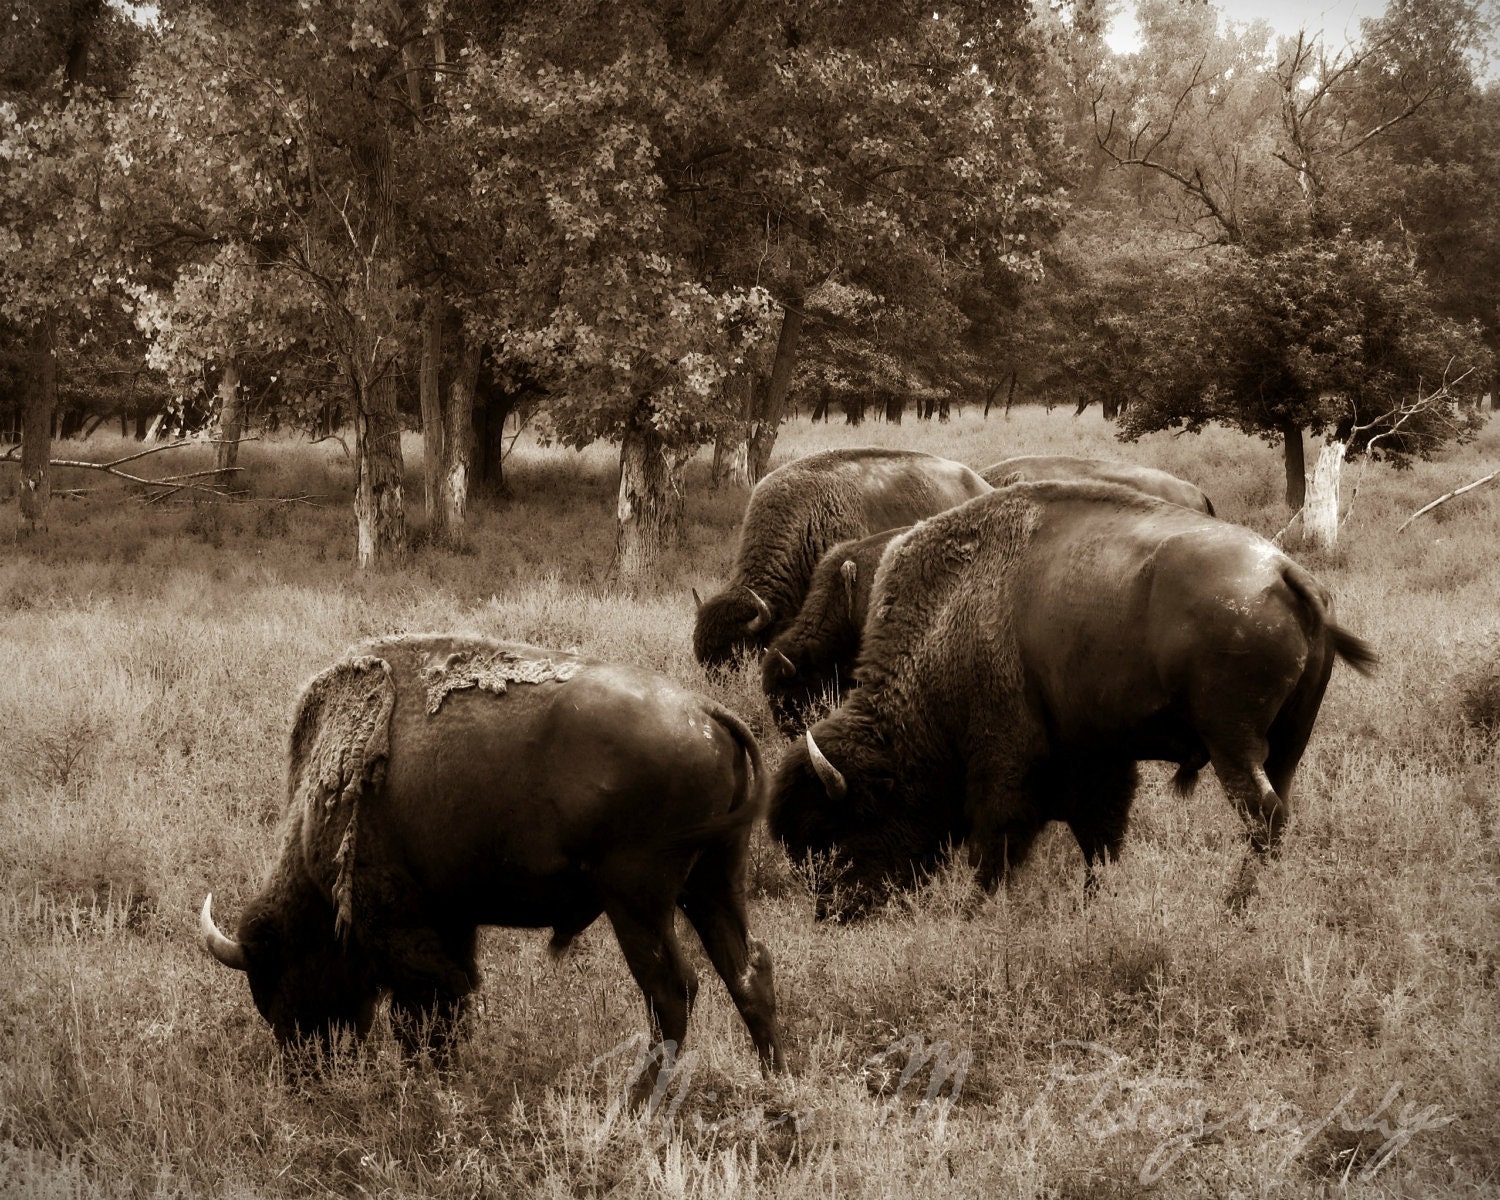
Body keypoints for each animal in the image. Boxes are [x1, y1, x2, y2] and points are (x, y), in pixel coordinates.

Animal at [202, 636, 786, 1098]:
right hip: (712, 882)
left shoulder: (401, 928)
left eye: (287, 975)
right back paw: (776, 1084)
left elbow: (425, 1013)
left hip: (638, 901)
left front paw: (430, 1085)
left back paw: (637, 1101)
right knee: (748, 971)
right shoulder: (451, 922)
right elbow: (450, 1001)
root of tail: (707, 712)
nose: (303, 1075)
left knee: (672, 990)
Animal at [768, 483, 1374, 912]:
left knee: (1261, 818)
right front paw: (1092, 906)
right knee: (1279, 811)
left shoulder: (1003, 759)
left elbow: (997, 841)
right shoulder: (1098, 757)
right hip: (1287, 745)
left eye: (832, 831)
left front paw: (974, 909)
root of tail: (1287, 573)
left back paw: (1234, 909)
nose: (836, 912)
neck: (943, 624)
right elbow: (1100, 837)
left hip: (1233, 744)